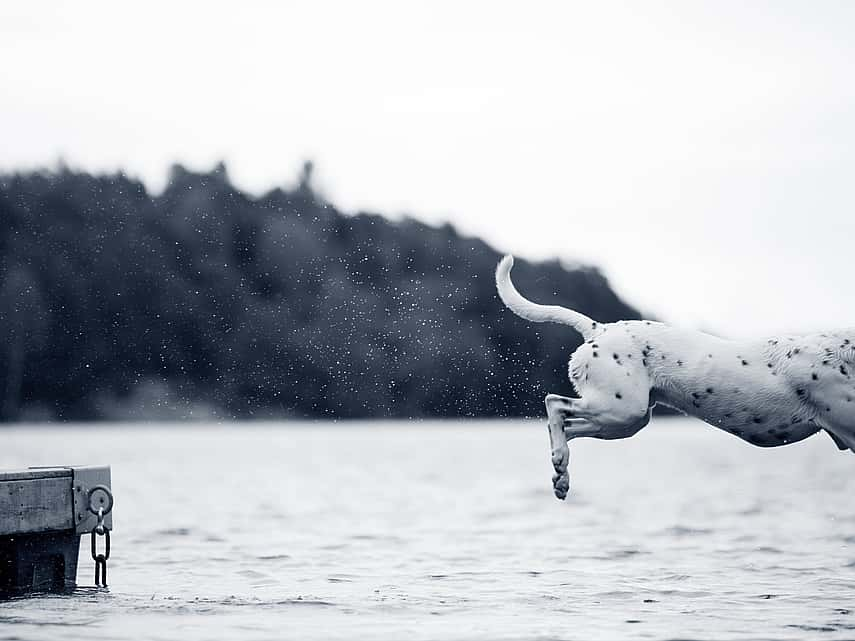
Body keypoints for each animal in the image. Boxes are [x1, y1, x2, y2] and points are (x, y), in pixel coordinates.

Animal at [494, 255, 855, 500]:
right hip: (621, 409)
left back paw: (561, 476)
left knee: (565, 425)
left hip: (624, 421)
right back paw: (560, 461)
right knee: (554, 404)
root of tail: (599, 328)